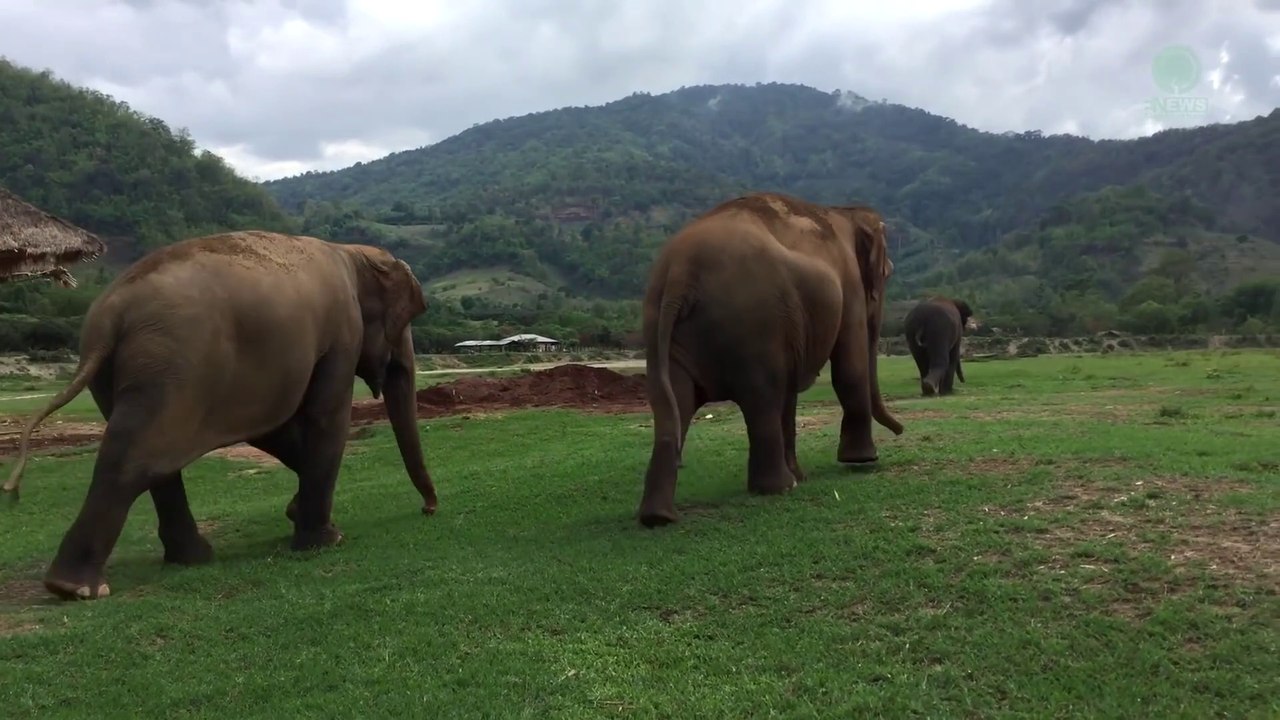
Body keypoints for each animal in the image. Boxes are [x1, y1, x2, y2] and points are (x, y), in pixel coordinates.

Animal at [2, 230, 439, 601]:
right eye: (407, 319)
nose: (429, 509)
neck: (349, 251)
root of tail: (111, 315)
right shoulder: (342, 333)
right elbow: (323, 417)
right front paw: (325, 540)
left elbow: (277, 426)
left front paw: (295, 512)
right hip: (175, 363)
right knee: (137, 458)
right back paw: (78, 588)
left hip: (126, 376)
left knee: (152, 459)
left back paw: (187, 559)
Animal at [636, 191, 905, 527]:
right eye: (886, 273)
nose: (901, 430)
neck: (843, 211)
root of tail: (679, 274)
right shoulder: (850, 287)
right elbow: (849, 368)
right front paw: (862, 460)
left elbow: (791, 393)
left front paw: (804, 475)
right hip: (753, 326)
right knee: (762, 397)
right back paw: (780, 487)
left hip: (662, 327)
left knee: (674, 403)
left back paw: (657, 516)